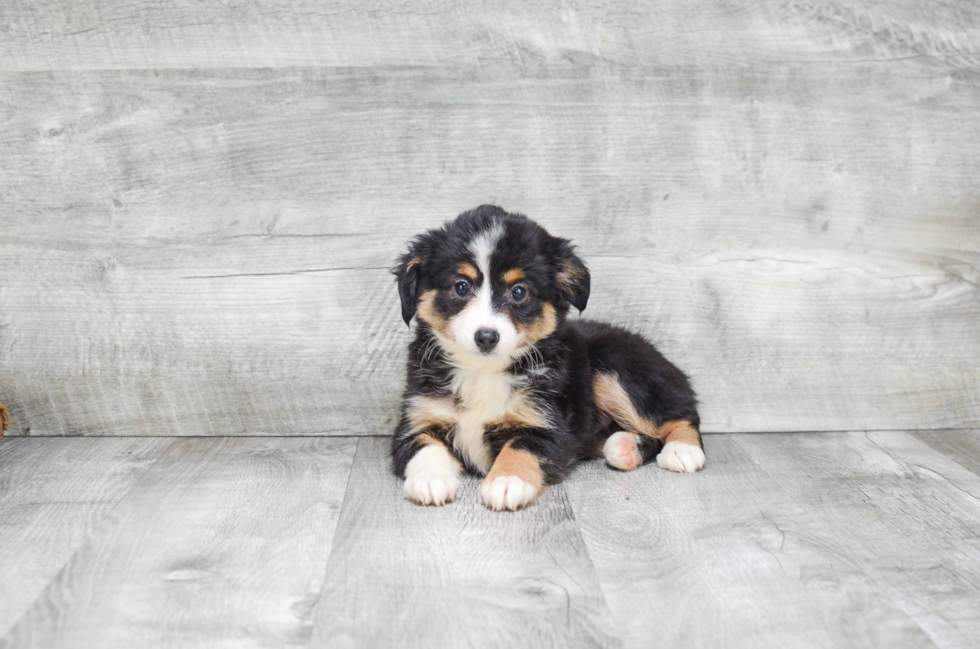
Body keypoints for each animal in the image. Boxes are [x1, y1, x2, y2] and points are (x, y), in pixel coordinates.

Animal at [392, 205, 704, 508]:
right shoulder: (416, 420)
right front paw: (430, 479)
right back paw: (625, 447)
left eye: (519, 291)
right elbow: (424, 446)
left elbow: (520, 446)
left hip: (614, 366)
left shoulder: (549, 426)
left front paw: (507, 481)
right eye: (461, 286)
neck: (482, 371)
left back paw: (683, 450)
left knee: (680, 415)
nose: (486, 337)